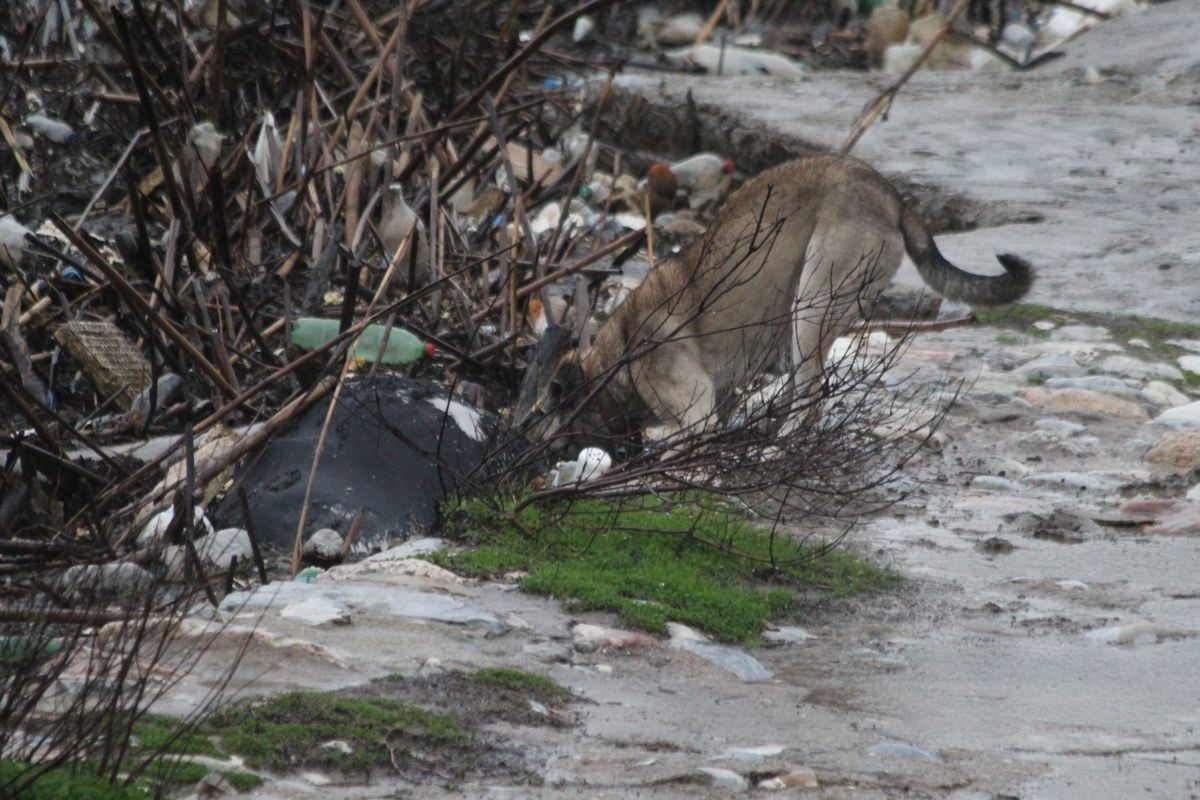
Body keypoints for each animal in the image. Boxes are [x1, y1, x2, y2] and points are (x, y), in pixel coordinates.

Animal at [532, 153, 1032, 448]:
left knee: (811, 393)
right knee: (802, 389)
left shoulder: (695, 408)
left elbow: (679, 430)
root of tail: (892, 197)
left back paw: (778, 443)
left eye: (543, 416)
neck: (615, 358)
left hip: (813, 299)